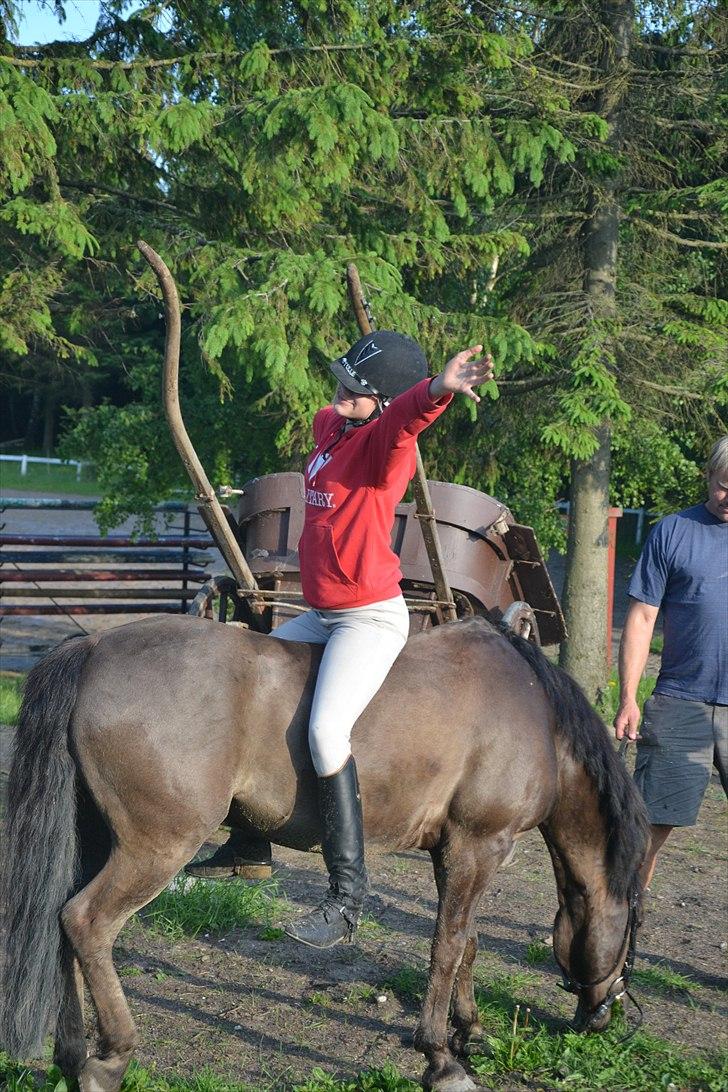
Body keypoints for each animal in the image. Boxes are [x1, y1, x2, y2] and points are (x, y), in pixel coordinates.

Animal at [1, 620, 650, 1087]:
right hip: (155, 848)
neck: (534, 708)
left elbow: (465, 943)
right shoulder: (477, 846)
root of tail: (95, 647)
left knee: (59, 922)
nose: (607, 1016)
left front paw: (469, 1031)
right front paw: (441, 1059)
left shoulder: (459, 852)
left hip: (96, 842)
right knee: (86, 922)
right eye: (633, 931)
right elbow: (446, 948)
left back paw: (70, 1056)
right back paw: (110, 1059)